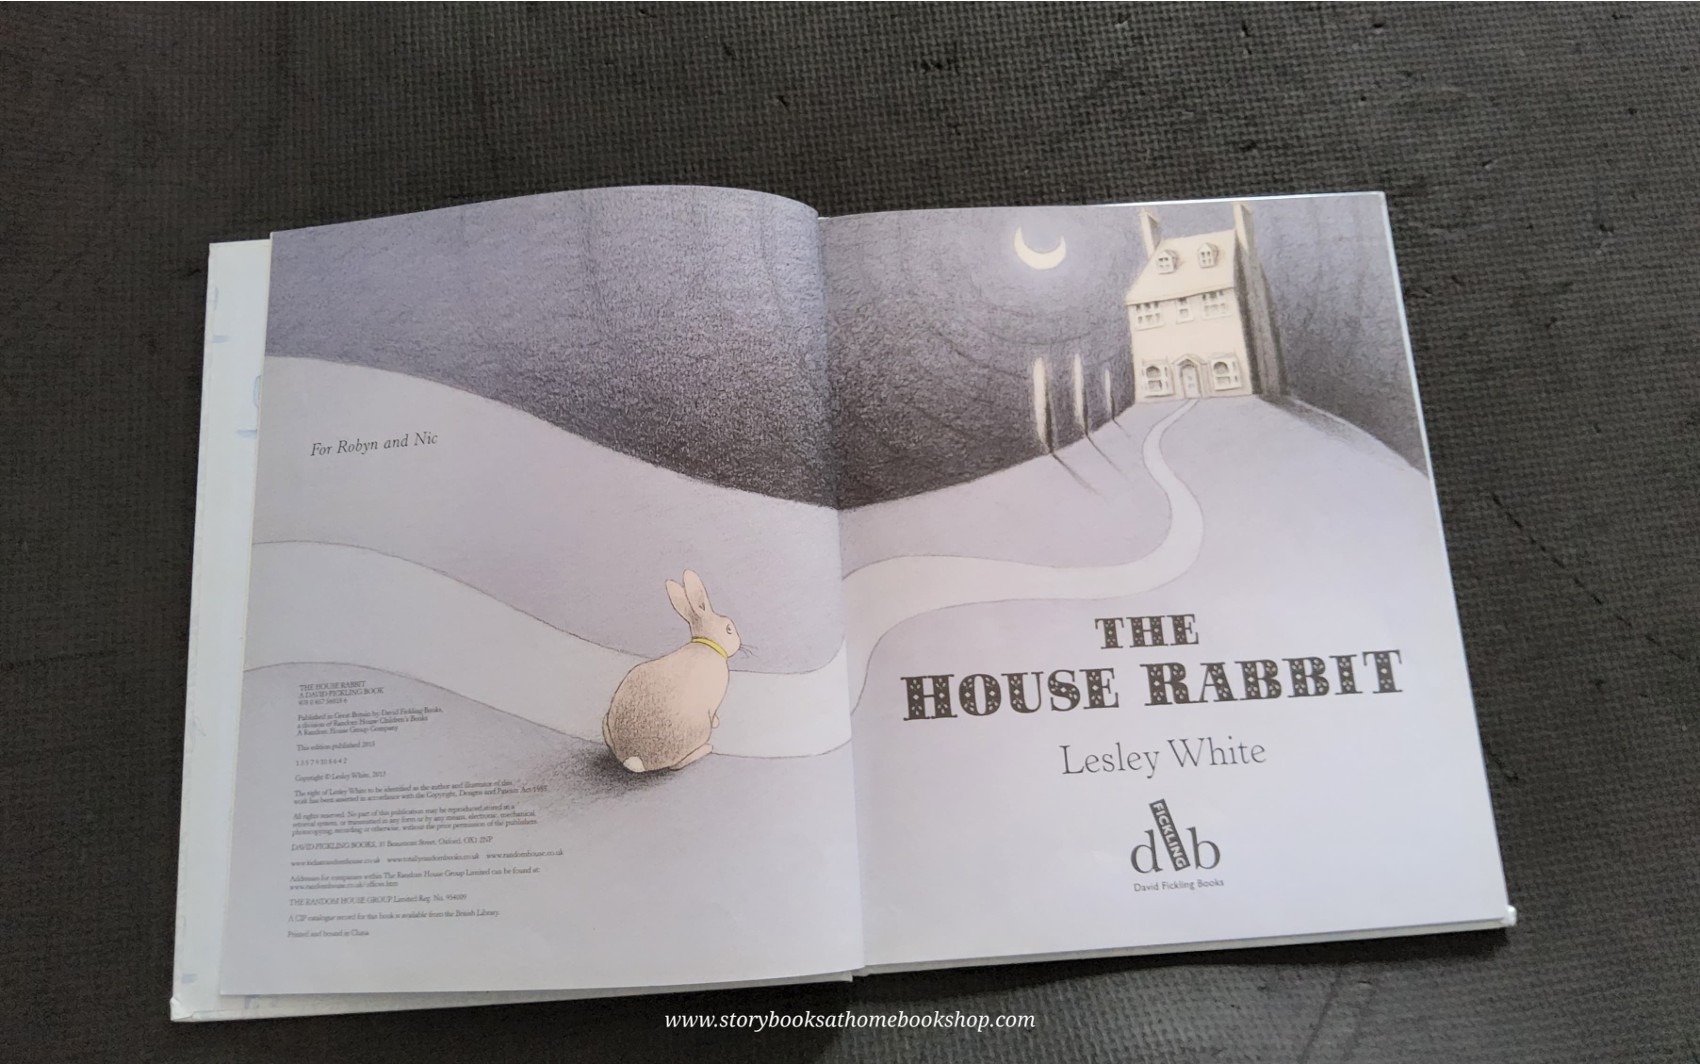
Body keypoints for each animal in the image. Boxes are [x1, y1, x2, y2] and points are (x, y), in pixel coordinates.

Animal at [602, 569, 741, 773]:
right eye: (729, 628)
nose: (739, 641)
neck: (708, 643)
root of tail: (635, 757)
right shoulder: (714, 702)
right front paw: (717, 722)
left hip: (606, 722)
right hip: (698, 731)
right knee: (676, 765)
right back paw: (706, 748)